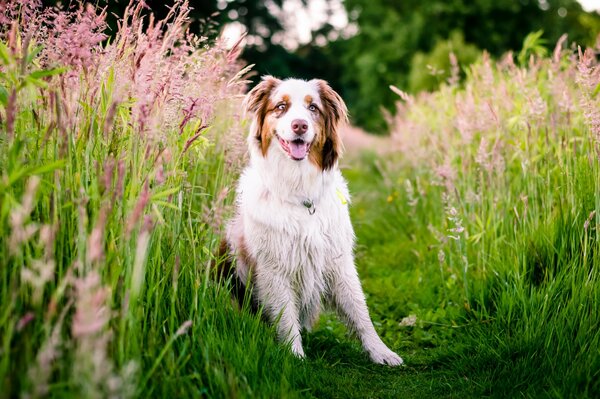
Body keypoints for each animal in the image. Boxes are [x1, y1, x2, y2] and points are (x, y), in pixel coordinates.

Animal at [221, 76, 404, 368]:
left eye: (313, 108)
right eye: (281, 107)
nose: (300, 125)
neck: (300, 193)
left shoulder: (338, 260)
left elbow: (360, 310)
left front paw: (381, 351)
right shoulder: (274, 267)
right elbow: (285, 316)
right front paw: (294, 356)